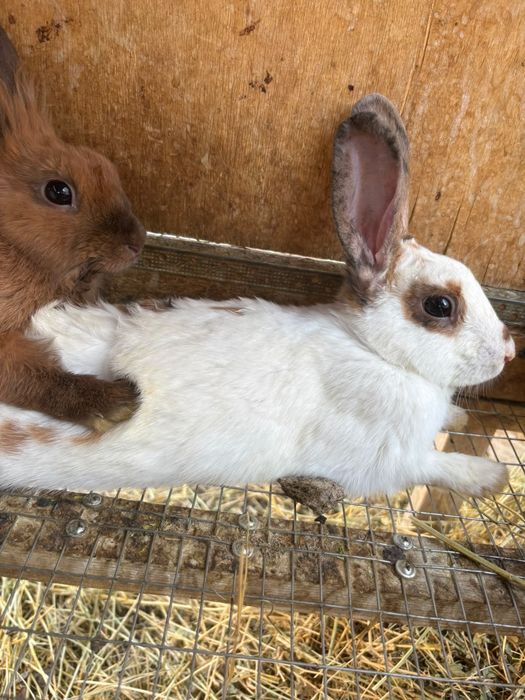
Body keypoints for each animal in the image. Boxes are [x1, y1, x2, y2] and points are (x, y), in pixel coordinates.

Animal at [0, 93, 515, 497]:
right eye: (440, 305)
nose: (509, 351)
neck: (373, 351)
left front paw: (459, 420)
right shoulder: (386, 461)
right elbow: (435, 465)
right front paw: (493, 476)